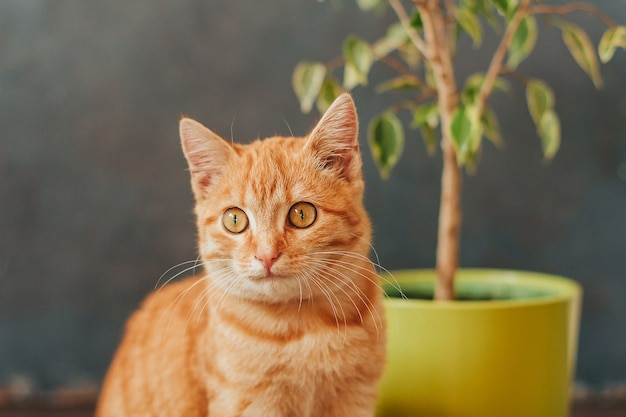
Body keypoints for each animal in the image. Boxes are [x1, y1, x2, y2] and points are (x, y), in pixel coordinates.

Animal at [96, 94, 386, 416]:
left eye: (302, 214)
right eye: (234, 220)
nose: (267, 255)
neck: (300, 327)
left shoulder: (355, 398)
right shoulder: (248, 403)